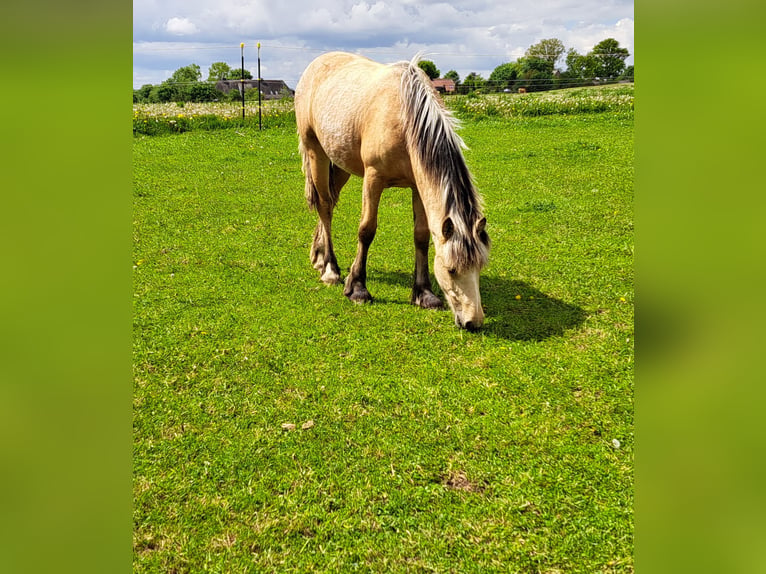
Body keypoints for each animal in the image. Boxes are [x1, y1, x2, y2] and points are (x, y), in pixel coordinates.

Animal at [295, 52, 490, 331]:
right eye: (451, 269)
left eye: (480, 267)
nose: (473, 321)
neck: (405, 117)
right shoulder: (373, 179)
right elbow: (366, 230)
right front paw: (357, 288)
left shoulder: (418, 188)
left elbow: (421, 236)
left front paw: (424, 294)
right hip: (316, 153)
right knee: (323, 205)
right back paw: (330, 269)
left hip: (340, 164)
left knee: (329, 203)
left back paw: (319, 257)